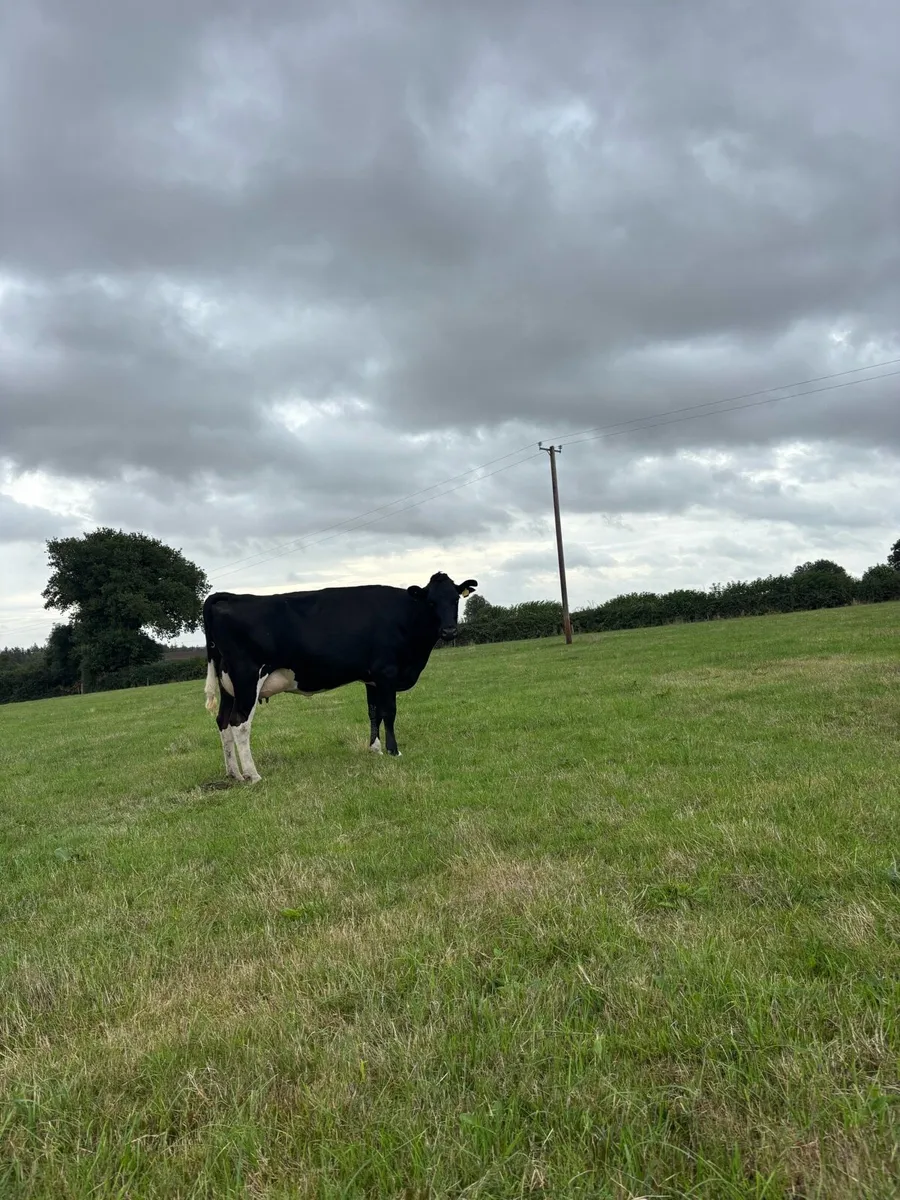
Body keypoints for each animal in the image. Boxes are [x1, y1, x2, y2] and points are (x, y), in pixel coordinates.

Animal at [202, 572, 478, 783]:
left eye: (455, 599)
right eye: (430, 602)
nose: (449, 631)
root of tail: (230, 596)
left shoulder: (372, 678)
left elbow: (374, 712)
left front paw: (375, 749)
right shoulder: (387, 672)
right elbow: (389, 712)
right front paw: (393, 751)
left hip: (228, 685)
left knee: (223, 722)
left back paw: (234, 774)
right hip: (247, 679)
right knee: (239, 723)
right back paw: (253, 775)